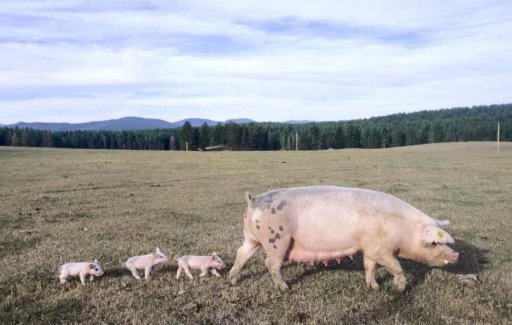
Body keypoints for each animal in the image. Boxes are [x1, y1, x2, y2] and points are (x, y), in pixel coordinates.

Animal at [229, 185, 460, 292]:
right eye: (434, 242)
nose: (457, 255)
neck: (405, 230)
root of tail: (253, 200)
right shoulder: (382, 249)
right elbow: (395, 267)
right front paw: (399, 289)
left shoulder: (370, 249)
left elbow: (369, 266)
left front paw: (374, 287)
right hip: (277, 240)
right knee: (271, 263)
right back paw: (285, 288)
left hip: (253, 238)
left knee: (241, 253)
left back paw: (232, 279)